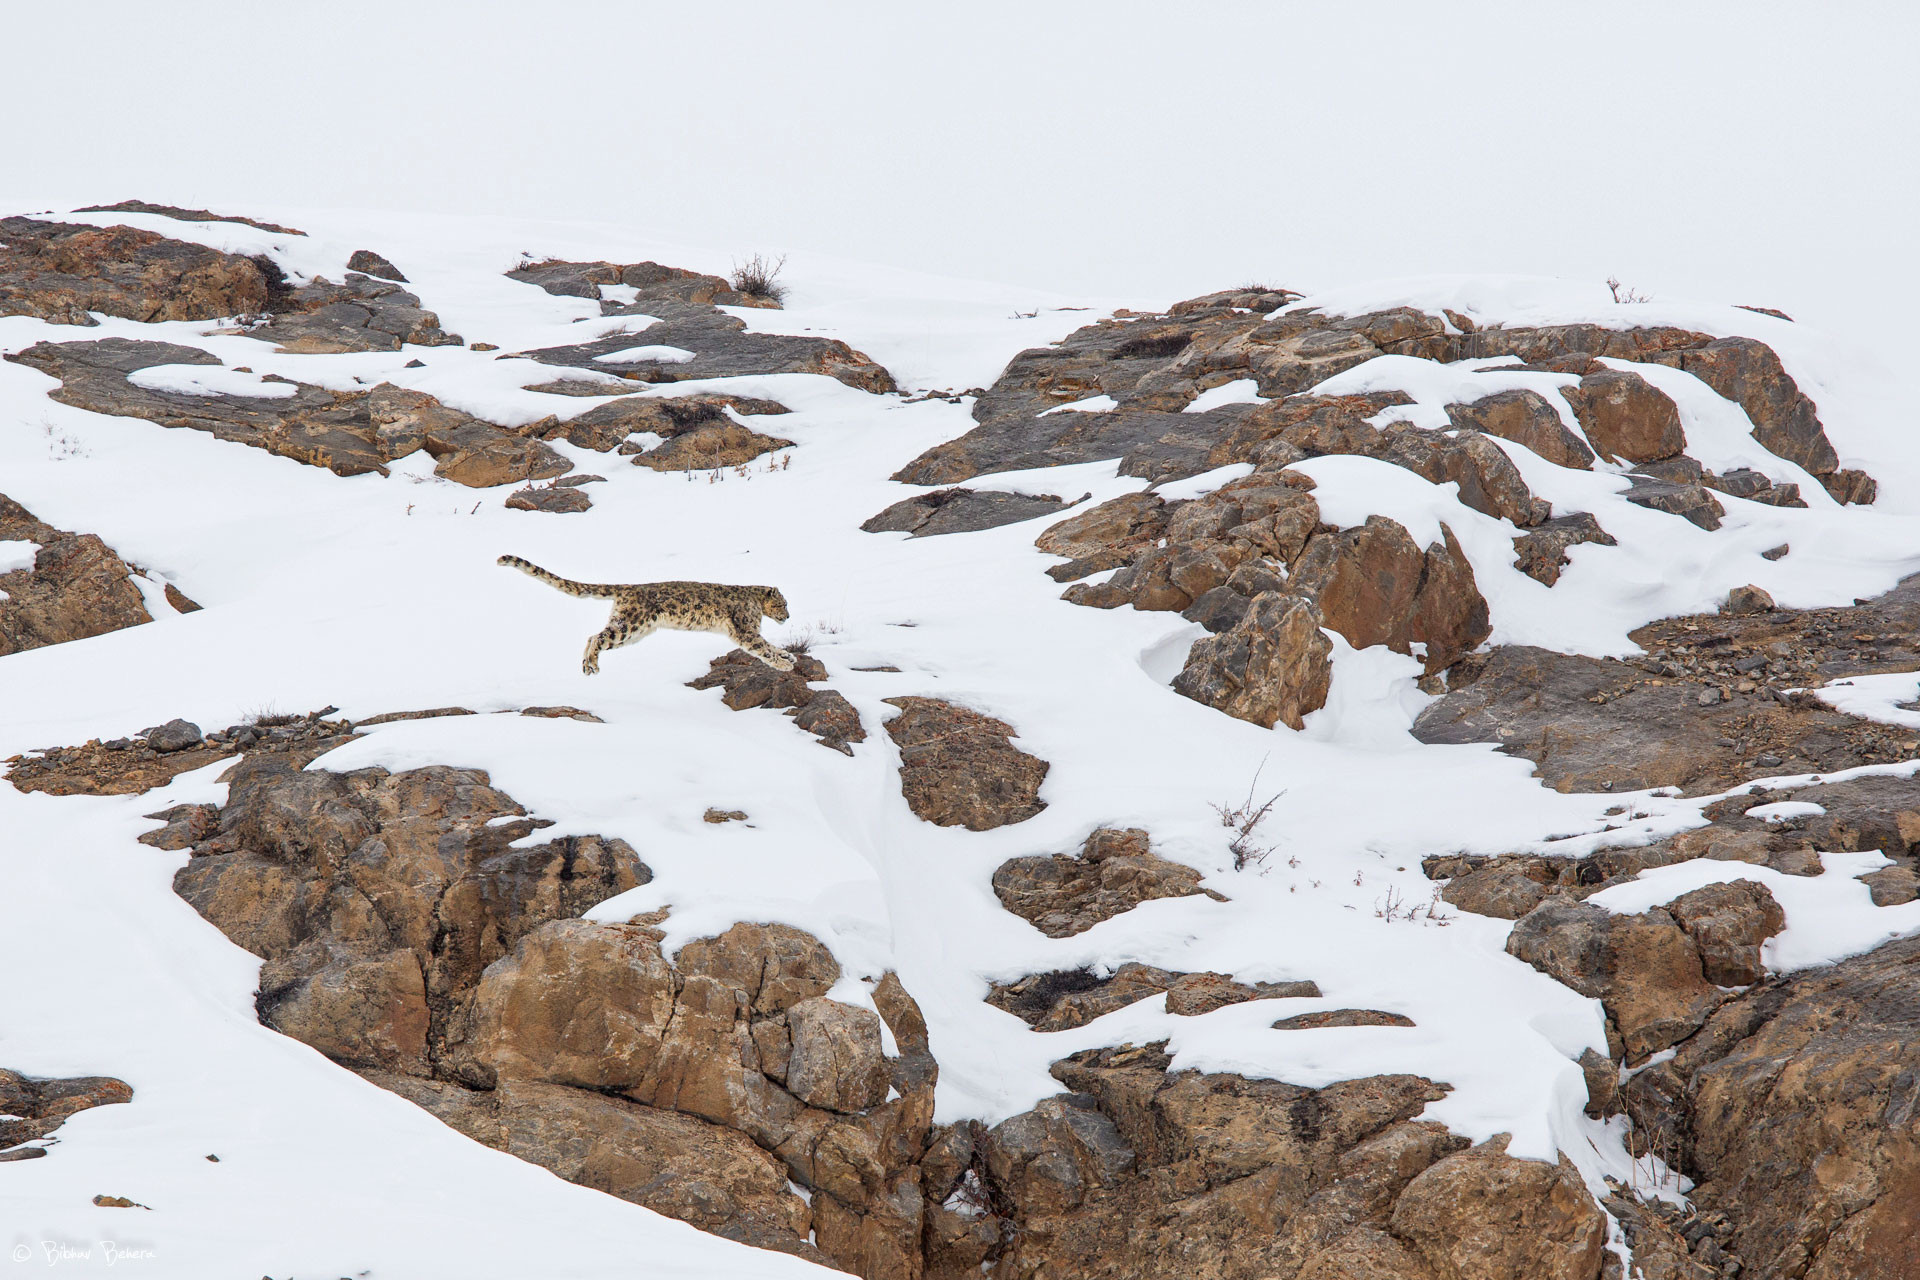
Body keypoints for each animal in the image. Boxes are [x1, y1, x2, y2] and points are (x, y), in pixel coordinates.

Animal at [498, 555, 795, 675]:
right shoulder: (745, 629)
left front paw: (788, 657)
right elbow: (762, 647)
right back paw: (591, 664)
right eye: (783, 603)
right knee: (597, 637)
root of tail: (629, 587)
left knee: (594, 636)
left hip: (634, 631)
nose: (789, 616)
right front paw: (784, 665)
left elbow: (769, 646)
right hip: (629, 624)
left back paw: (587, 666)